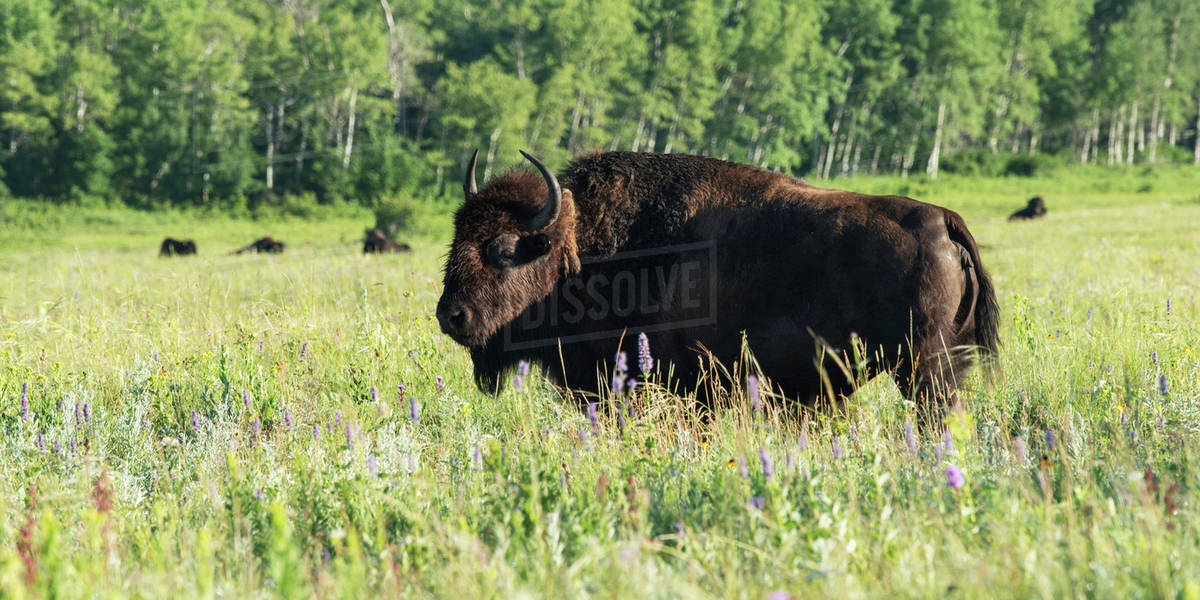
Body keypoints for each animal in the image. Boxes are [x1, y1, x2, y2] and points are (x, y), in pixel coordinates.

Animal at [436, 150, 999, 412]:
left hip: (926, 367)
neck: (581, 245)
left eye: (503, 249)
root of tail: (941, 219)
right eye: (455, 238)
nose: (450, 315)